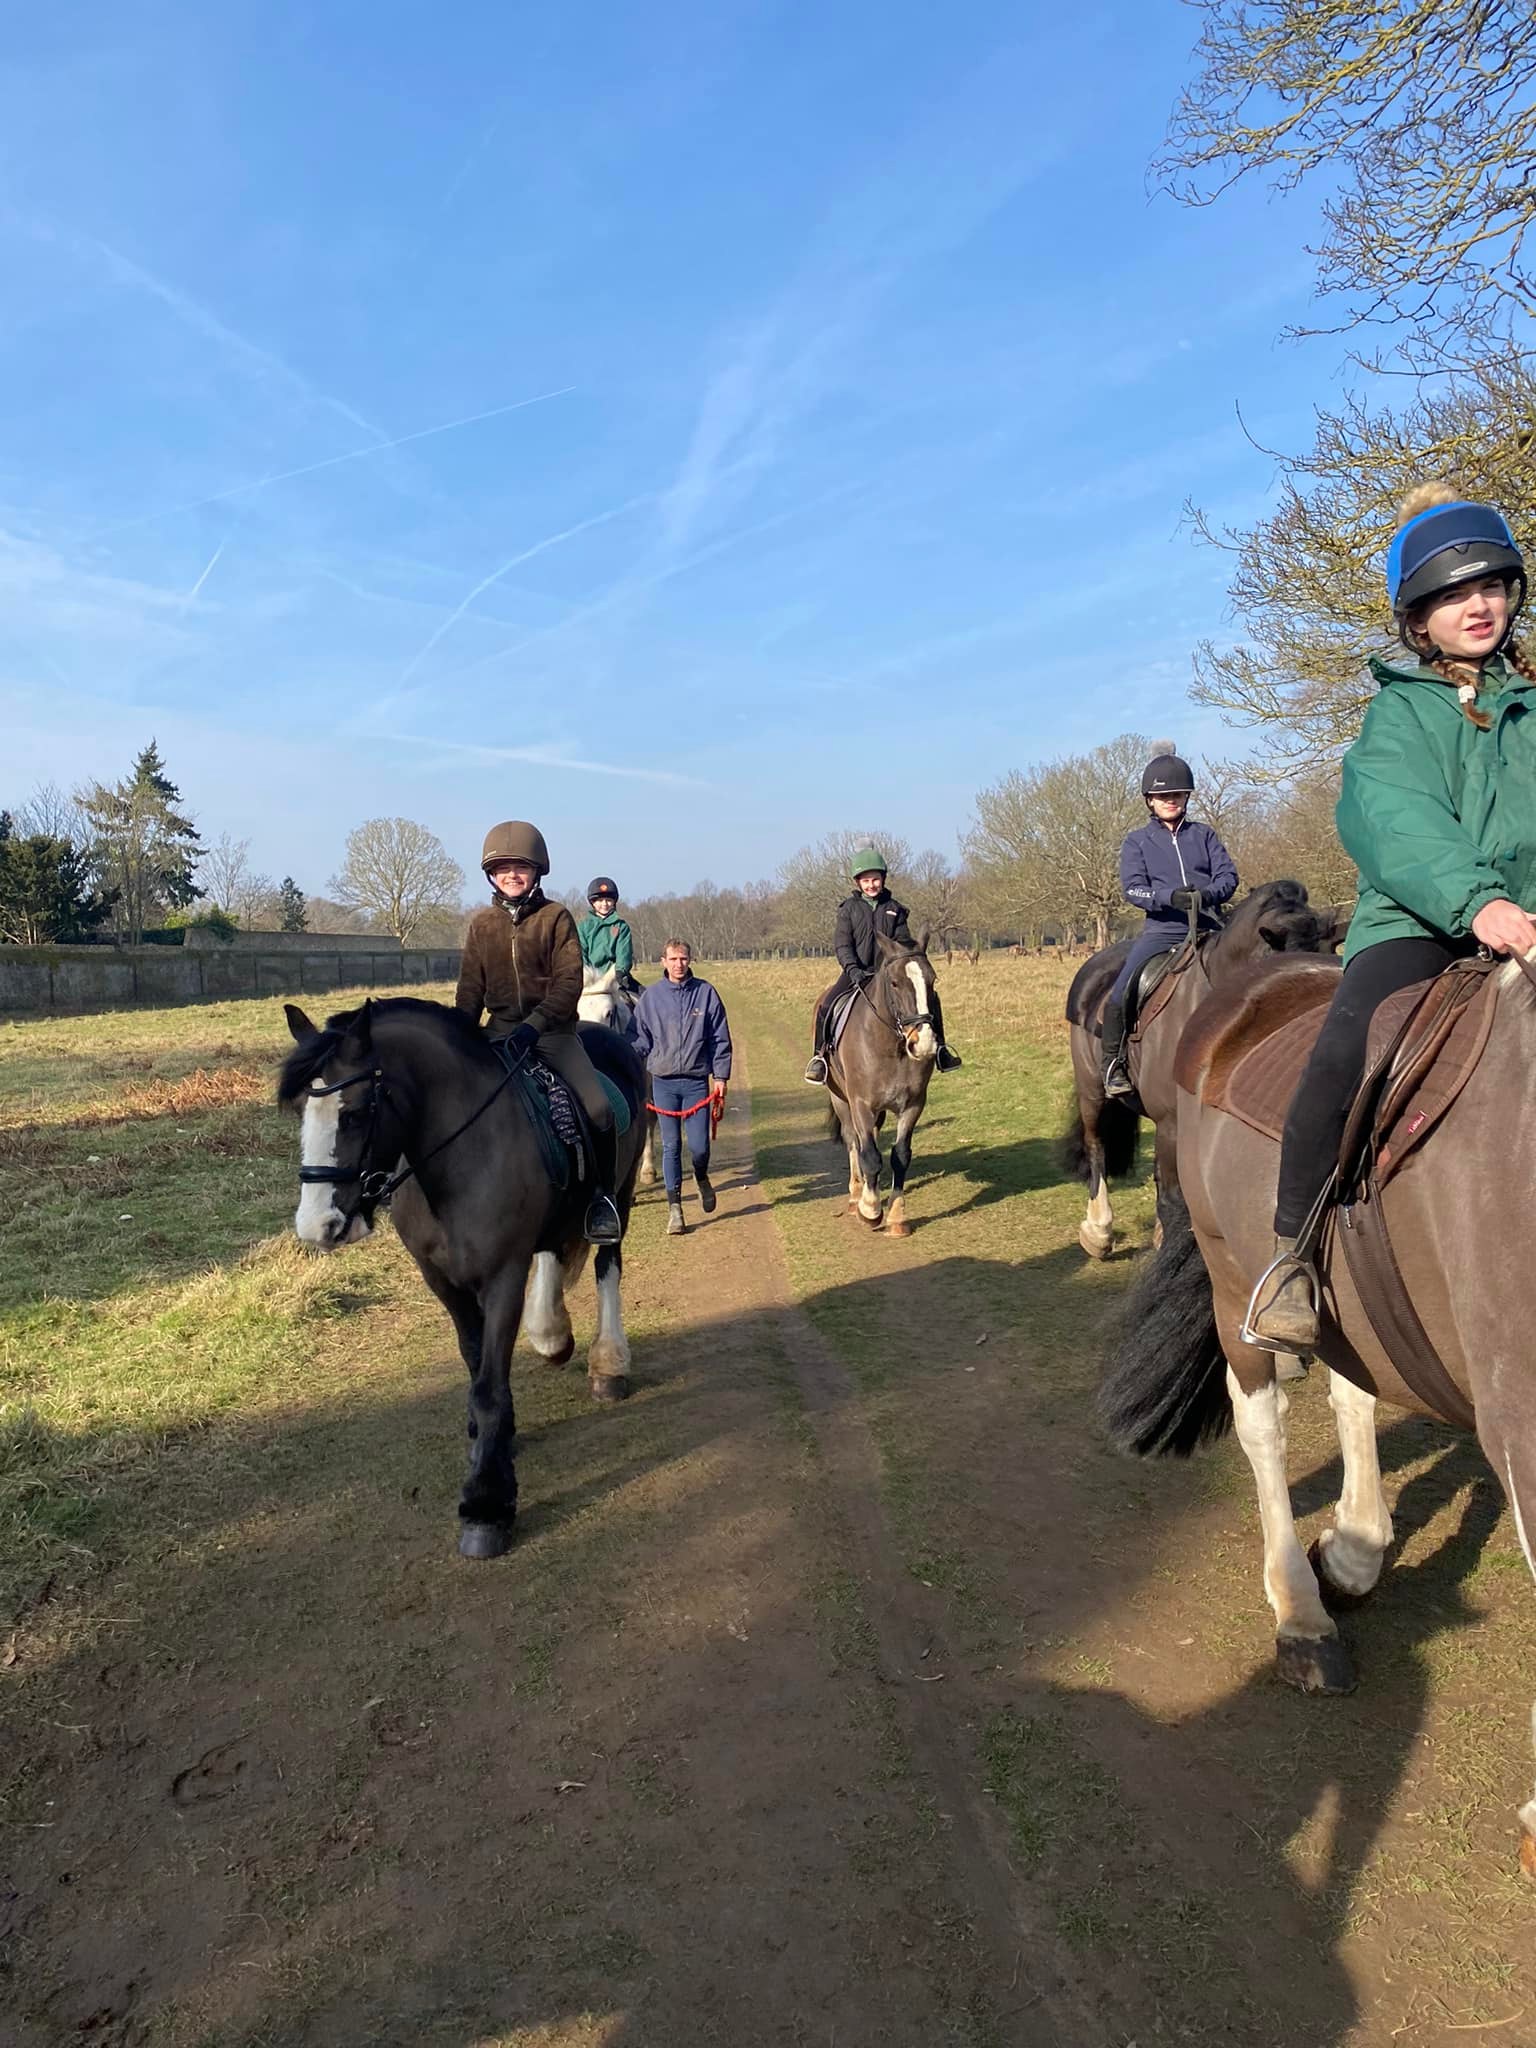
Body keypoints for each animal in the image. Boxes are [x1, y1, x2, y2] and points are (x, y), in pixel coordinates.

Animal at [279, 997, 648, 1561]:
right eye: (303, 1109)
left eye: (357, 1112)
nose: (317, 1226)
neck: (458, 1160)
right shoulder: (442, 1281)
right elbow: (477, 1366)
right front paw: (494, 1442)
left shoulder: (502, 1277)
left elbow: (489, 1387)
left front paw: (486, 1504)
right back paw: (552, 1336)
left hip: (619, 1196)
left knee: (609, 1265)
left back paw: (608, 1364)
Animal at [822, 930, 941, 1237]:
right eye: (895, 982)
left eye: (932, 980)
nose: (923, 1043)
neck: (890, 1046)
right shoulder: (861, 1104)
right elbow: (870, 1156)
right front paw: (870, 1210)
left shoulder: (913, 1105)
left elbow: (900, 1156)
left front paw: (897, 1216)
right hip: (841, 1099)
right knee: (854, 1141)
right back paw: (856, 1196)